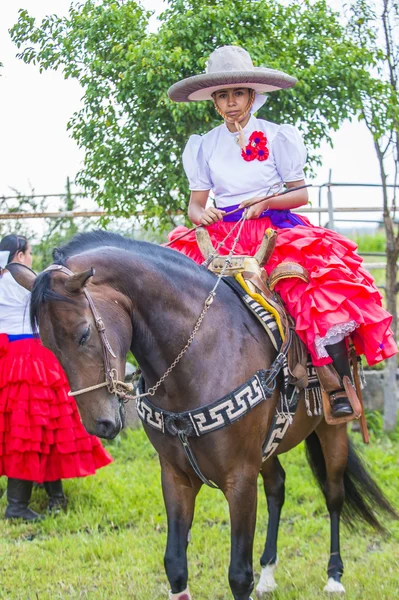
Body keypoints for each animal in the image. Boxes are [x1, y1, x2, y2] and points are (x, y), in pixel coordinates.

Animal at [9, 231, 396, 600]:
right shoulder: (176, 476)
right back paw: (269, 574)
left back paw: (334, 577)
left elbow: (239, 575)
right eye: (47, 345)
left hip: (332, 430)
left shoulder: (239, 479)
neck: (201, 352)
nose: (99, 424)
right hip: (270, 446)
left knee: (334, 494)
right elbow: (175, 564)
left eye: (84, 333)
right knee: (277, 488)